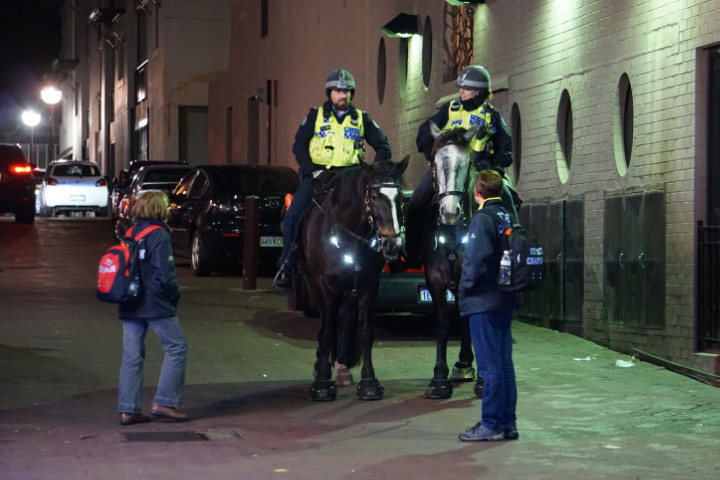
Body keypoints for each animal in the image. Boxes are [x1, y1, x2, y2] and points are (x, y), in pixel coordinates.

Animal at [298, 158, 408, 402]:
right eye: (374, 196)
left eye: (401, 198)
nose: (392, 244)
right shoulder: (326, 286)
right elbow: (326, 331)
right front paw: (322, 383)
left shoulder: (368, 285)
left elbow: (365, 332)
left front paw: (369, 382)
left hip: (349, 289)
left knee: (345, 319)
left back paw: (342, 368)